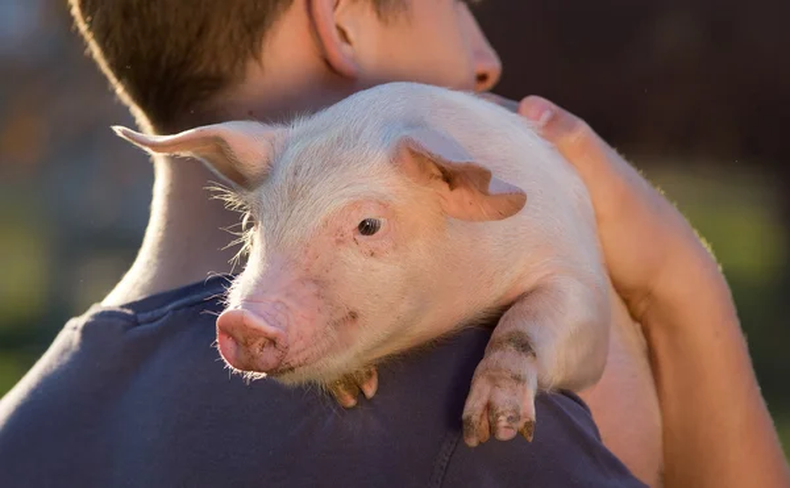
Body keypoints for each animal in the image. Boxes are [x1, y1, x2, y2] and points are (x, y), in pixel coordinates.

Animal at [113, 82, 611, 447]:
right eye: (253, 222)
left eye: (368, 225)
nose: (242, 322)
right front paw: (355, 390)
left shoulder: (581, 275)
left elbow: (531, 322)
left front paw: (492, 430)